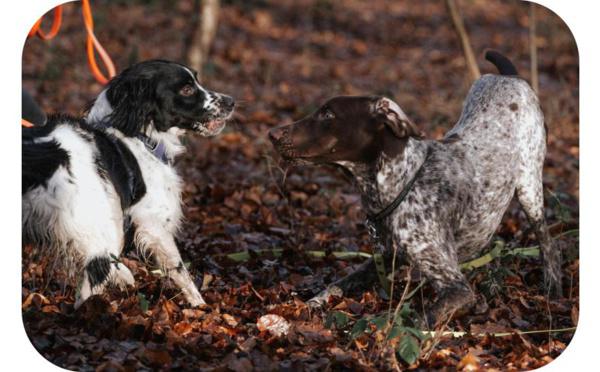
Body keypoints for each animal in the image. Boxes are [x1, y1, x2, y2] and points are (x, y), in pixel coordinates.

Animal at [21, 60, 233, 308]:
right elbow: (179, 269)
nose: (231, 101)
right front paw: (200, 305)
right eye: (187, 89)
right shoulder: (153, 225)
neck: (139, 138)